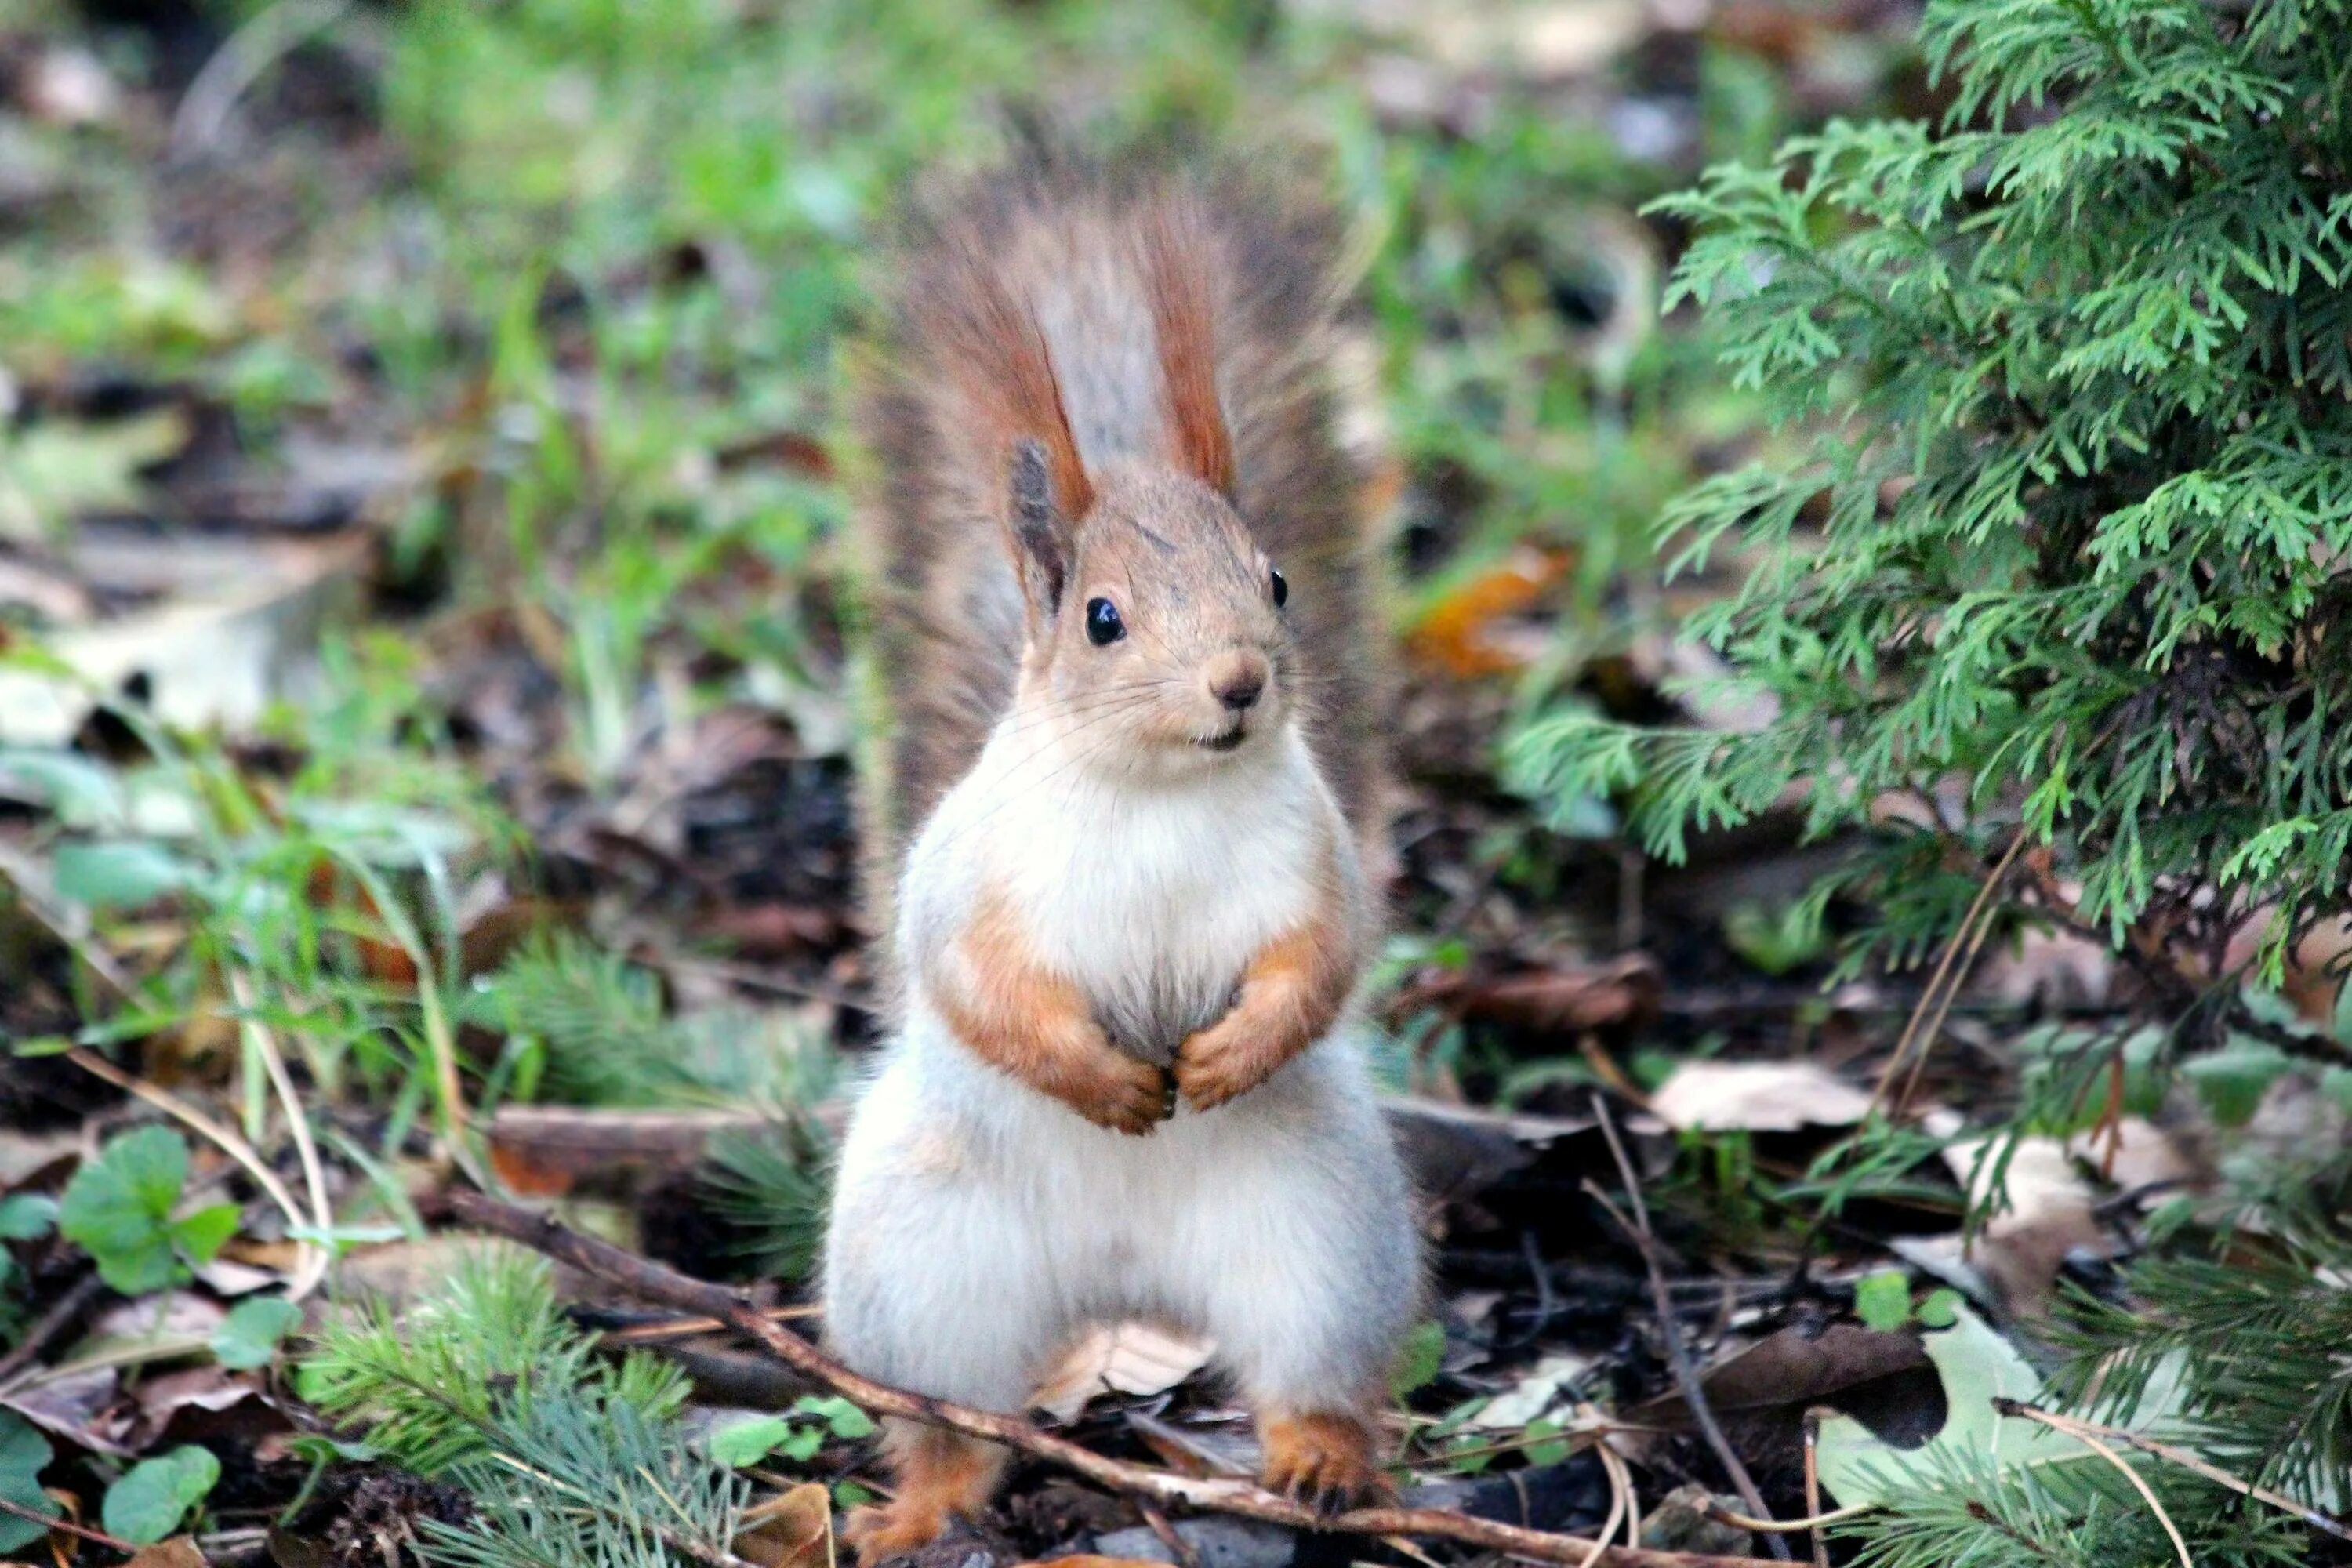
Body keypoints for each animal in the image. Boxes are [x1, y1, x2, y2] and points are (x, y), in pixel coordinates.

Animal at [828, 152, 1411, 1561]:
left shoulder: (1315, 864)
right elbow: (978, 983)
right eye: (1103, 620)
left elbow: (1320, 962)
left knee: (1313, 1375)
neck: (1160, 795)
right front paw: (1101, 1082)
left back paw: (1320, 1462)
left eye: (1276, 583)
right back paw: (921, 1507)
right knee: (945, 1422)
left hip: (1324, 1240)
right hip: (917, 1266)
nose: (1242, 683)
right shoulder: (972, 881)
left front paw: (1231, 1055)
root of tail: (1125, 1284)